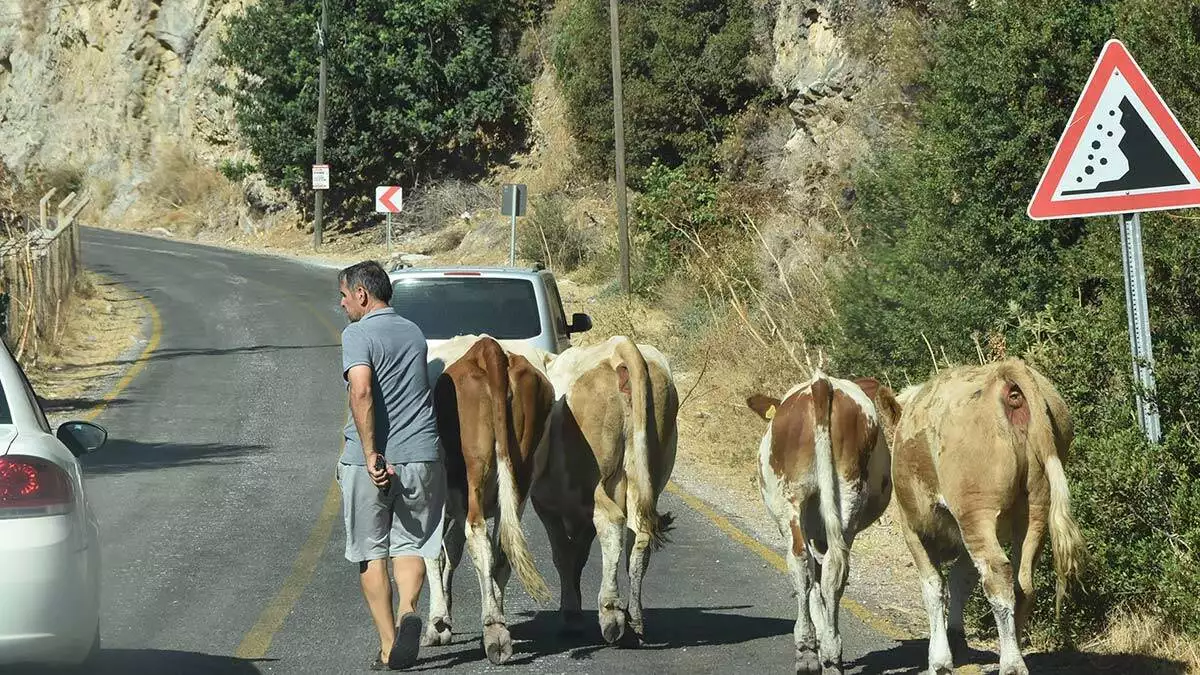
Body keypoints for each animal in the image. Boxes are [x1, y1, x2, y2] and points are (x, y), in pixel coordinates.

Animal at [420, 333, 554, 658]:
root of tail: (487, 349)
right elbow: (451, 551)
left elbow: (434, 552)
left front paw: (437, 623)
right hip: (521, 471)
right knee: (504, 543)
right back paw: (498, 621)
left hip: (475, 467)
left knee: (477, 532)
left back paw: (493, 627)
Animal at [530, 333, 681, 643]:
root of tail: (619, 348)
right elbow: (578, 555)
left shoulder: (546, 503)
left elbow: (563, 555)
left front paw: (571, 614)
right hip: (645, 476)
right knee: (639, 535)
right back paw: (634, 618)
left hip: (593, 484)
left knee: (612, 522)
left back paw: (611, 614)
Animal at [739, 369, 902, 667]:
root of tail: (820, 383)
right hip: (846, 499)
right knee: (834, 569)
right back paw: (831, 651)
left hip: (790, 501)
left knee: (800, 562)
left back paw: (807, 648)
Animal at [892, 360, 1089, 672]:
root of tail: (1005, 374)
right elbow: (961, 579)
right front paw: (956, 639)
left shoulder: (914, 527)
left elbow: (934, 586)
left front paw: (939, 659)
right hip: (1036, 508)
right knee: (1023, 582)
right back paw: (1016, 650)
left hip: (976, 512)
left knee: (997, 575)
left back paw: (1011, 664)